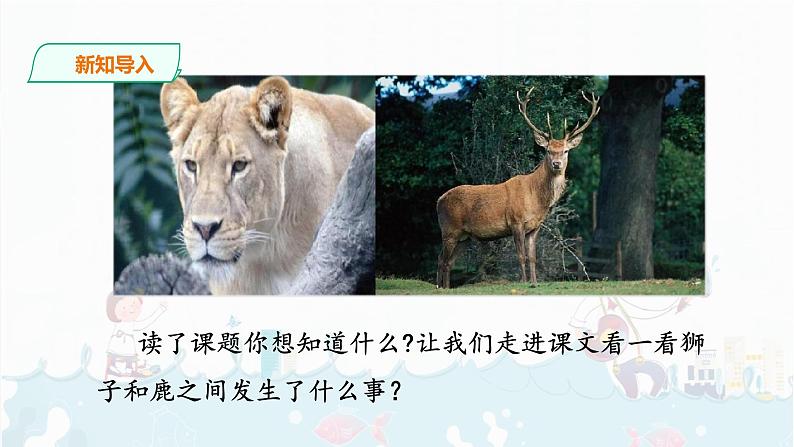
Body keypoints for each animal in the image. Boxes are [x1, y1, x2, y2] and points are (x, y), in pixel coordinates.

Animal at [435, 86, 600, 289]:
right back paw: (441, 287)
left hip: (464, 236)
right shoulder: (516, 221)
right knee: (443, 260)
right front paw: (523, 282)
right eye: (548, 150)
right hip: (449, 228)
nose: (556, 164)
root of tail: (438, 200)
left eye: (566, 150)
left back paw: (443, 287)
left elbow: (533, 257)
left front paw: (535, 283)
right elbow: (521, 256)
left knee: (446, 260)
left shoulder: (534, 227)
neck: (537, 199)